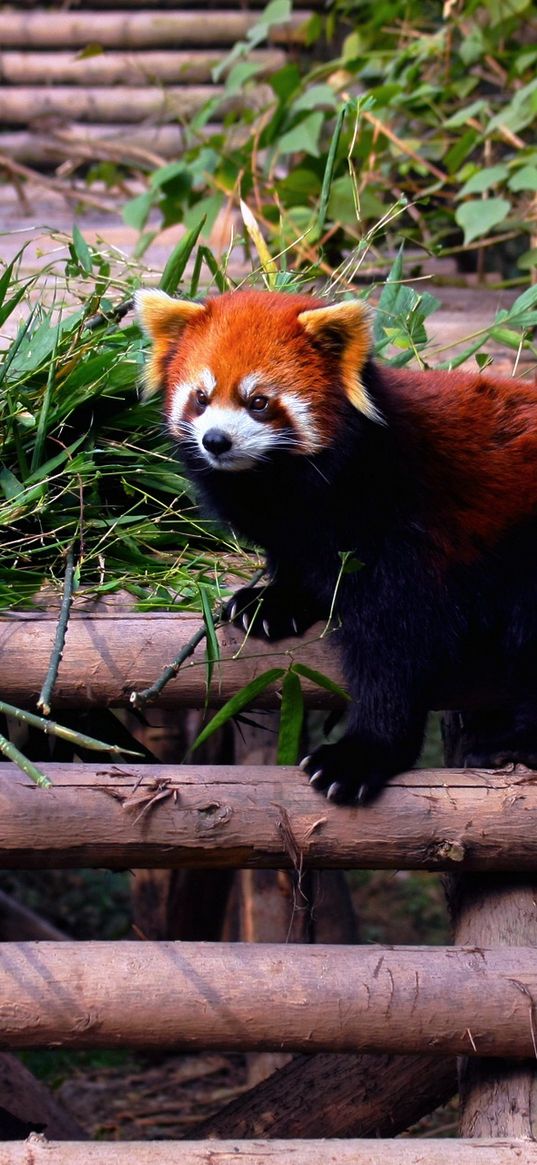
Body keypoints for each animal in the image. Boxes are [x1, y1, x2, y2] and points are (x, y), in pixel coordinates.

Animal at [136, 286, 535, 806]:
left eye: (258, 401)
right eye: (200, 398)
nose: (216, 441)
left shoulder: (408, 527)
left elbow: (396, 643)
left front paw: (364, 752)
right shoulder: (299, 530)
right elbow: (299, 565)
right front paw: (273, 602)